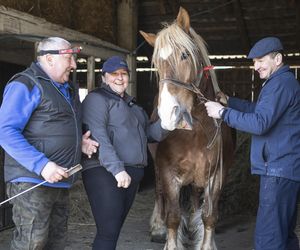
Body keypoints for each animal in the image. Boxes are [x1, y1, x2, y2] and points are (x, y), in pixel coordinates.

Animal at [141, 6, 234, 249]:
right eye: (157, 63)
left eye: (184, 55)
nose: (168, 114)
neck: (196, 134)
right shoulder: (168, 173)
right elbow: (173, 216)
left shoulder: (217, 175)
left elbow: (209, 216)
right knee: (159, 194)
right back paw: (157, 228)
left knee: (194, 195)